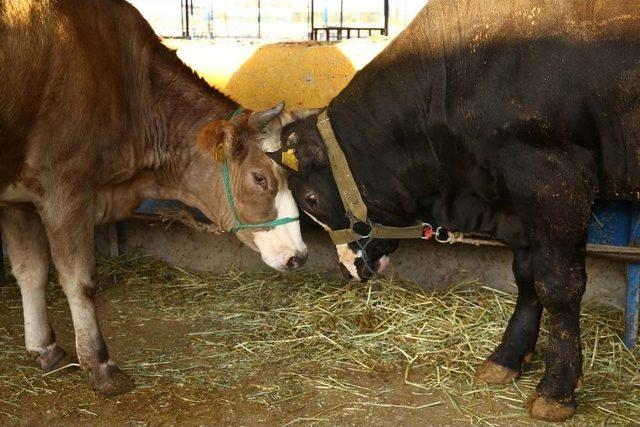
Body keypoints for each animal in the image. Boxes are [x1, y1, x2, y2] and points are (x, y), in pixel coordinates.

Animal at [0, 0, 308, 396]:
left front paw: (45, 348)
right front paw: (101, 367)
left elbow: (31, 271)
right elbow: (79, 280)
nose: (299, 255)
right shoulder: (64, 186)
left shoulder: (16, 198)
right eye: (259, 177)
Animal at [272, 0, 640, 422]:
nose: (349, 269)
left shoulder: (554, 181)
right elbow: (527, 276)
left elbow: (558, 286)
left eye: (311, 199)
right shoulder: (517, 200)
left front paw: (556, 390)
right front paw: (507, 357)